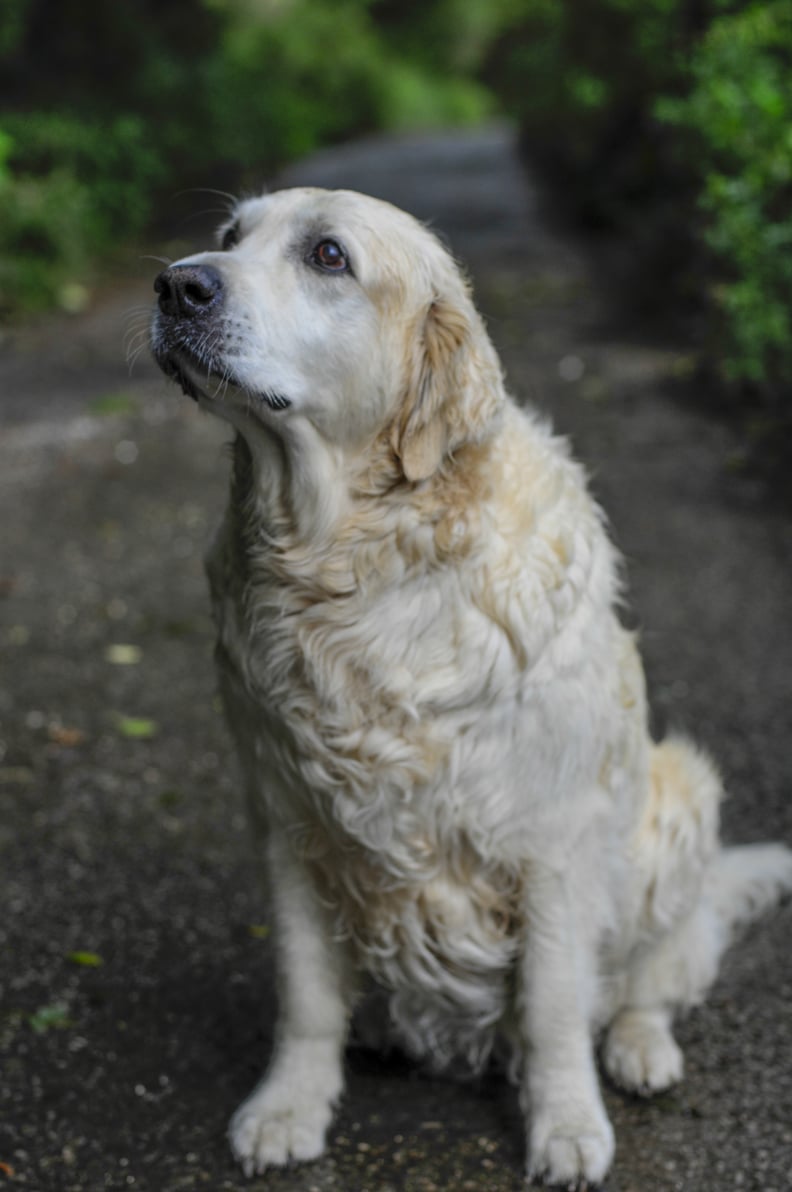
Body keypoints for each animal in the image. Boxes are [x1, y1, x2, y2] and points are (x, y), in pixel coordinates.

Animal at [150, 185, 792, 1182]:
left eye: (327, 255)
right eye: (229, 237)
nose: (177, 285)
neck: (352, 566)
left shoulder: (553, 843)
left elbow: (555, 1005)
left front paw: (567, 1125)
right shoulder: (287, 825)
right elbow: (305, 996)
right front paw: (288, 1106)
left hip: (680, 797)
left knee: (656, 973)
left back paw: (641, 1048)